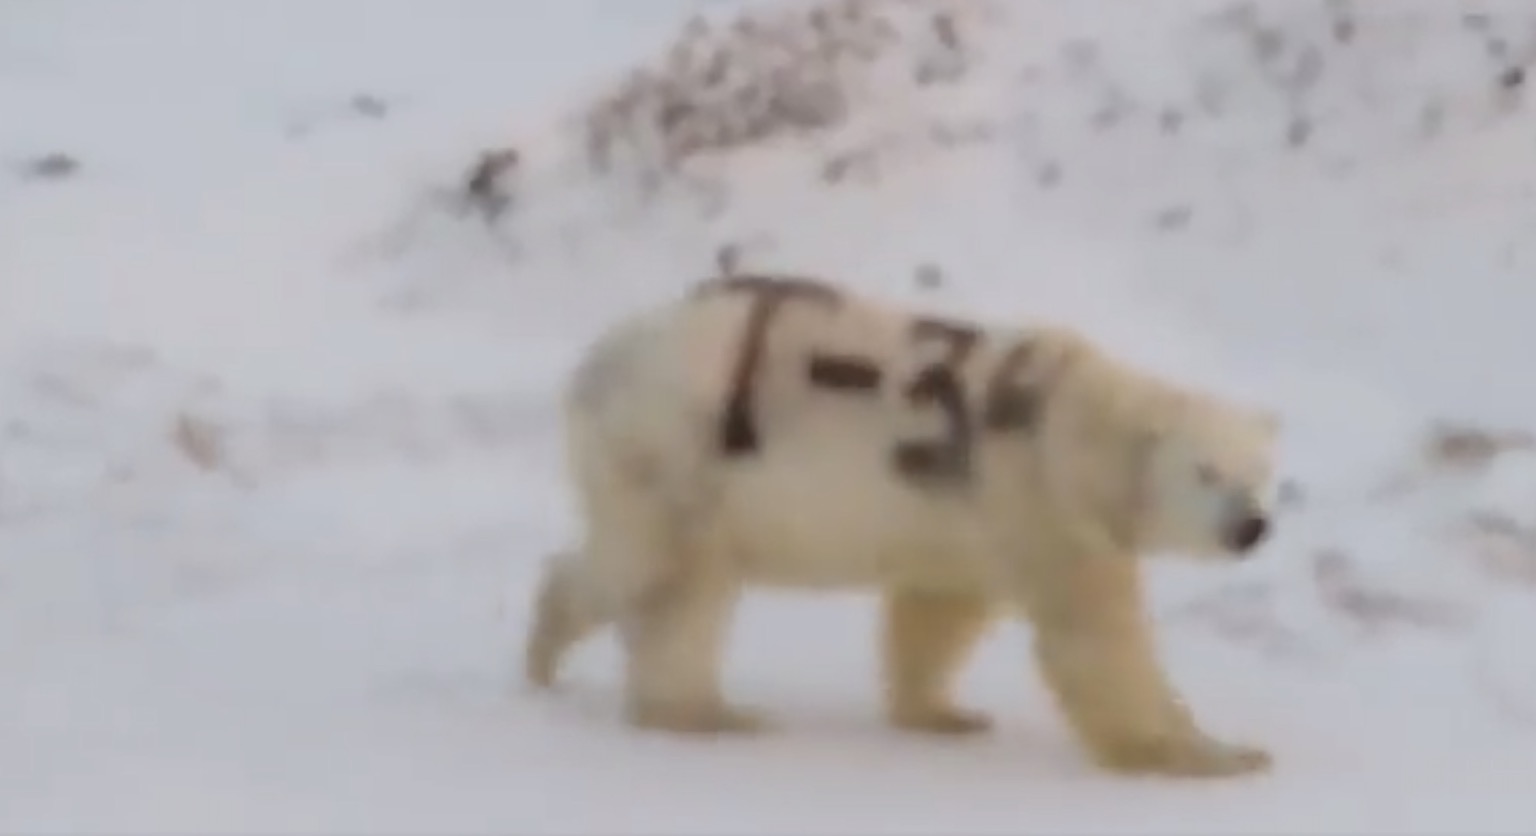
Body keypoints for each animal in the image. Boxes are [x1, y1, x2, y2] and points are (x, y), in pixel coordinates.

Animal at [524, 274, 1279, 778]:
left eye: (1262, 473)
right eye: (1207, 471)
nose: (1251, 526)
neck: (1076, 428)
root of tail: (595, 363)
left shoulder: (966, 512)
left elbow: (937, 610)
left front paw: (946, 714)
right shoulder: (1042, 500)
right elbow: (1098, 639)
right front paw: (1209, 753)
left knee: (663, 574)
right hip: (678, 447)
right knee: (664, 574)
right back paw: (675, 703)